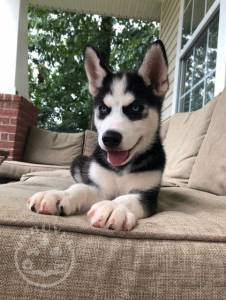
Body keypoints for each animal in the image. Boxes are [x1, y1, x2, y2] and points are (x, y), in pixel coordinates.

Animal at [27, 39, 168, 231]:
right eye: (103, 108)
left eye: (135, 108)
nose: (110, 138)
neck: (121, 169)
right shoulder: (99, 187)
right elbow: (80, 189)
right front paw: (58, 195)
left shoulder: (148, 195)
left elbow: (128, 199)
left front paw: (113, 206)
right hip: (78, 161)